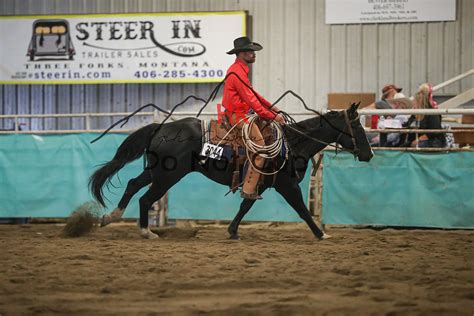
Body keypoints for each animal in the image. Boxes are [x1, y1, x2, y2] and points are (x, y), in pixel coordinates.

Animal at [89, 103, 372, 239]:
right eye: (358, 127)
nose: (369, 154)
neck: (293, 142)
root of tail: (161, 128)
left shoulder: (260, 184)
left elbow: (246, 205)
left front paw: (233, 231)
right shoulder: (287, 186)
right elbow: (302, 210)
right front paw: (321, 233)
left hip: (156, 172)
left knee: (132, 185)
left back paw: (111, 217)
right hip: (167, 177)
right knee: (145, 198)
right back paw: (146, 231)